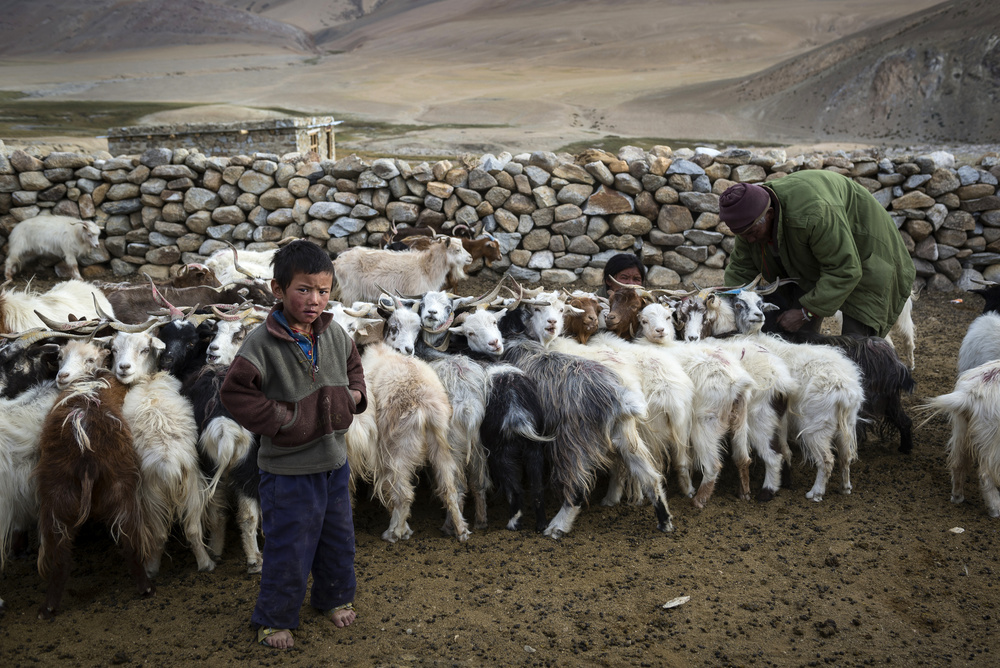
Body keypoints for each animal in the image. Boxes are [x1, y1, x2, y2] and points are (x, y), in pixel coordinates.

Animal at [34, 368, 154, 620]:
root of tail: (86, 462)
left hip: (58, 502)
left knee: (60, 560)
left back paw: (47, 608)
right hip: (121, 492)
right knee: (130, 543)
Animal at [111, 330, 213, 576]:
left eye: (144, 349)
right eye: (114, 350)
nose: (123, 367)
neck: (148, 381)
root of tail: (168, 464)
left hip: (154, 496)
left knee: (162, 534)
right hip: (186, 487)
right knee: (189, 530)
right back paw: (204, 563)